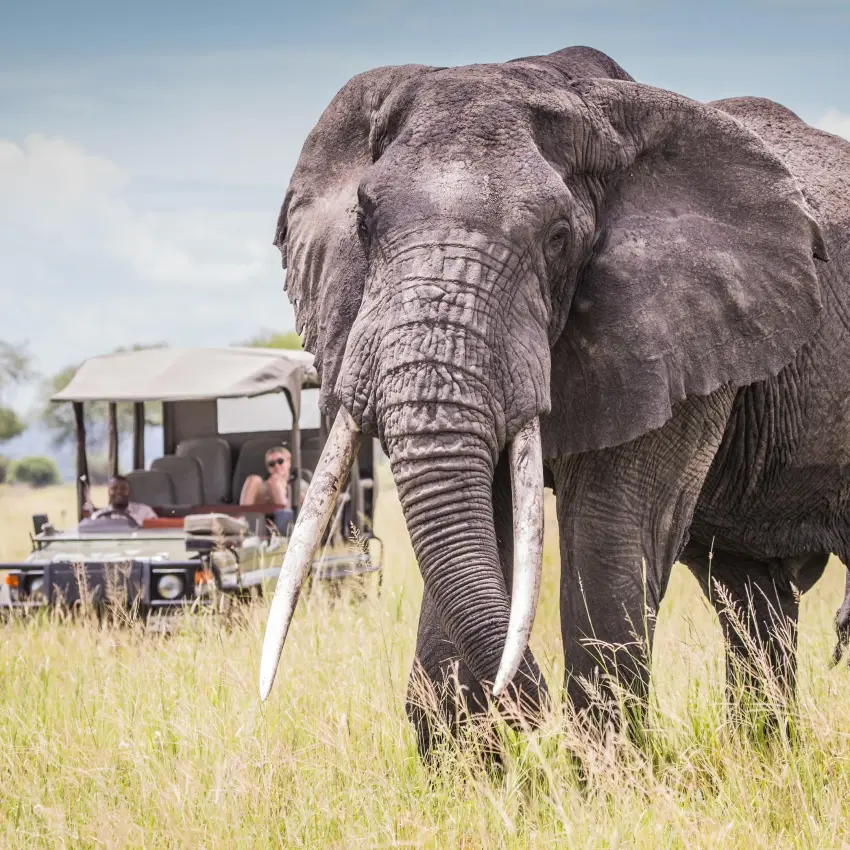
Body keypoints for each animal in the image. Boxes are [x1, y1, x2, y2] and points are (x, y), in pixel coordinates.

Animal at [258, 44, 850, 754]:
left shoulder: (683, 331)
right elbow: (484, 525)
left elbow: (610, 533)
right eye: (365, 221)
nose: (532, 723)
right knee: (751, 596)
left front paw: (603, 771)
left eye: (558, 237)